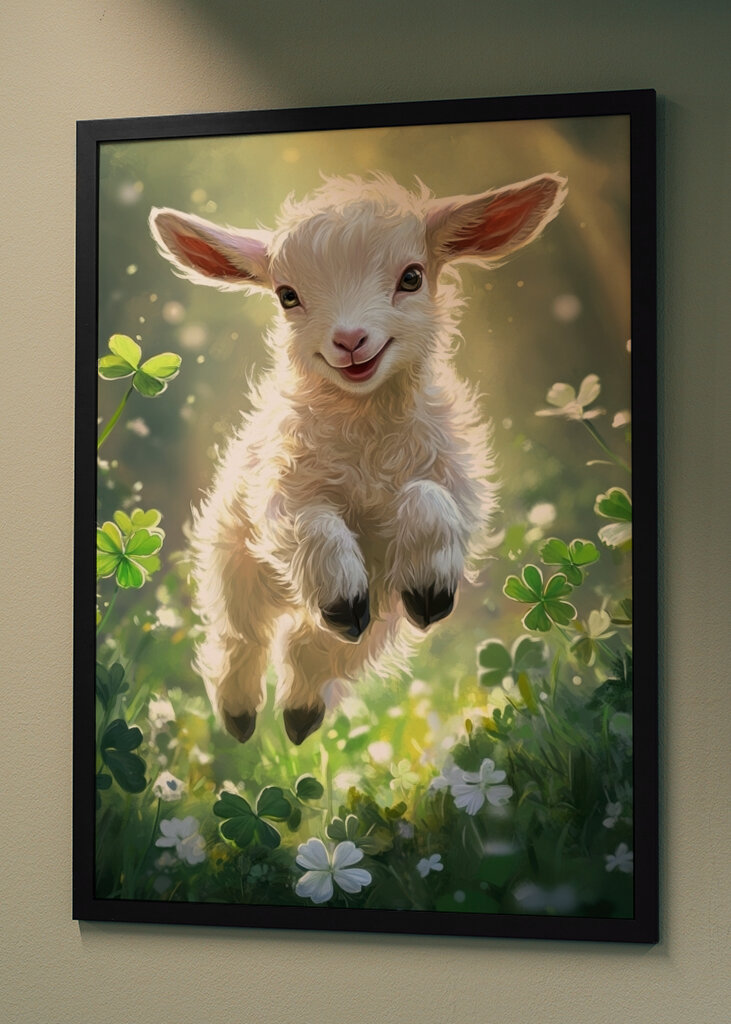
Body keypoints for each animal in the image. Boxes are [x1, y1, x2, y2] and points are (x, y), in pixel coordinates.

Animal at [149, 172, 566, 744]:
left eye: (412, 277)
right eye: (287, 295)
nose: (349, 341)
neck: (368, 433)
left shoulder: (455, 486)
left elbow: (427, 499)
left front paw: (429, 587)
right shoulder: (279, 495)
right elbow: (313, 526)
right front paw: (341, 594)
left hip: (382, 615)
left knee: (319, 647)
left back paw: (301, 711)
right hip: (234, 565)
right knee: (243, 637)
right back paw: (240, 713)